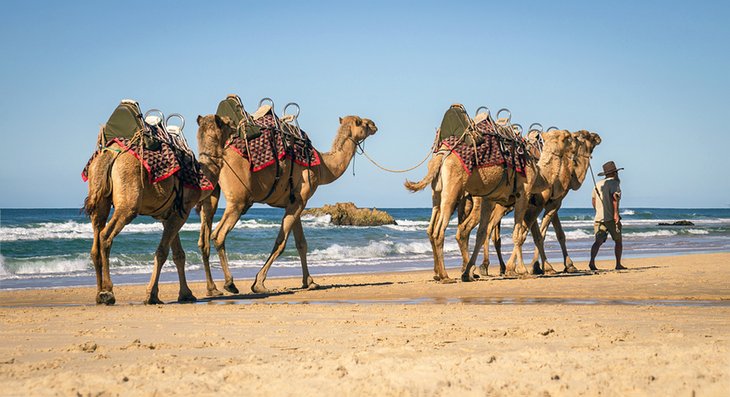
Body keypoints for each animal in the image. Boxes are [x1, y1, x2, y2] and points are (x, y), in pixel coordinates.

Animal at [85, 114, 233, 304]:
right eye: (227, 122)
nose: (235, 126)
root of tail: (110, 155)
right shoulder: (183, 211)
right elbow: (162, 252)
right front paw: (151, 295)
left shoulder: (169, 215)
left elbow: (178, 255)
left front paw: (186, 294)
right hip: (128, 203)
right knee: (105, 236)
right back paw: (108, 292)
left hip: (99, 200)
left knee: (96, 241)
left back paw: (99, 293)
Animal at [196, 114, 378, 294]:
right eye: (362, 123)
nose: (374, 124)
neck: (323, 166)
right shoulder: (300, 200)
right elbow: (281, 243)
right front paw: (259, 284)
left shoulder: (295, 202)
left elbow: (301, 244)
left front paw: (310, 282)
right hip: (238, 201)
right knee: (218, 235)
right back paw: (230, 284)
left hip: (212, 194)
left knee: (204, 240)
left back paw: (212, 288)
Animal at [404, 128, 568, 280]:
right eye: (564, 138)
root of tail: (441, 155)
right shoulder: (526, 195)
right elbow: (520, 233)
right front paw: (522, 270)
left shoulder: (490, 199)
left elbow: (484, 233)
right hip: (453, 188)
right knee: (442, 230)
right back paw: (446, 276)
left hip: (438, 191)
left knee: (434, 228)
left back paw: (445, 273)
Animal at [458, 130, 600, 276]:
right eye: (585, 136)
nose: (597, 137)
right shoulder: (545, 204)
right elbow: (536, 234)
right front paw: (537, 267)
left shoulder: (547, 203)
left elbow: (552, 234)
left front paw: (552, 266)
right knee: (471, 229)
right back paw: (477, 268)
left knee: (486, 231)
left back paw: (476, 268)